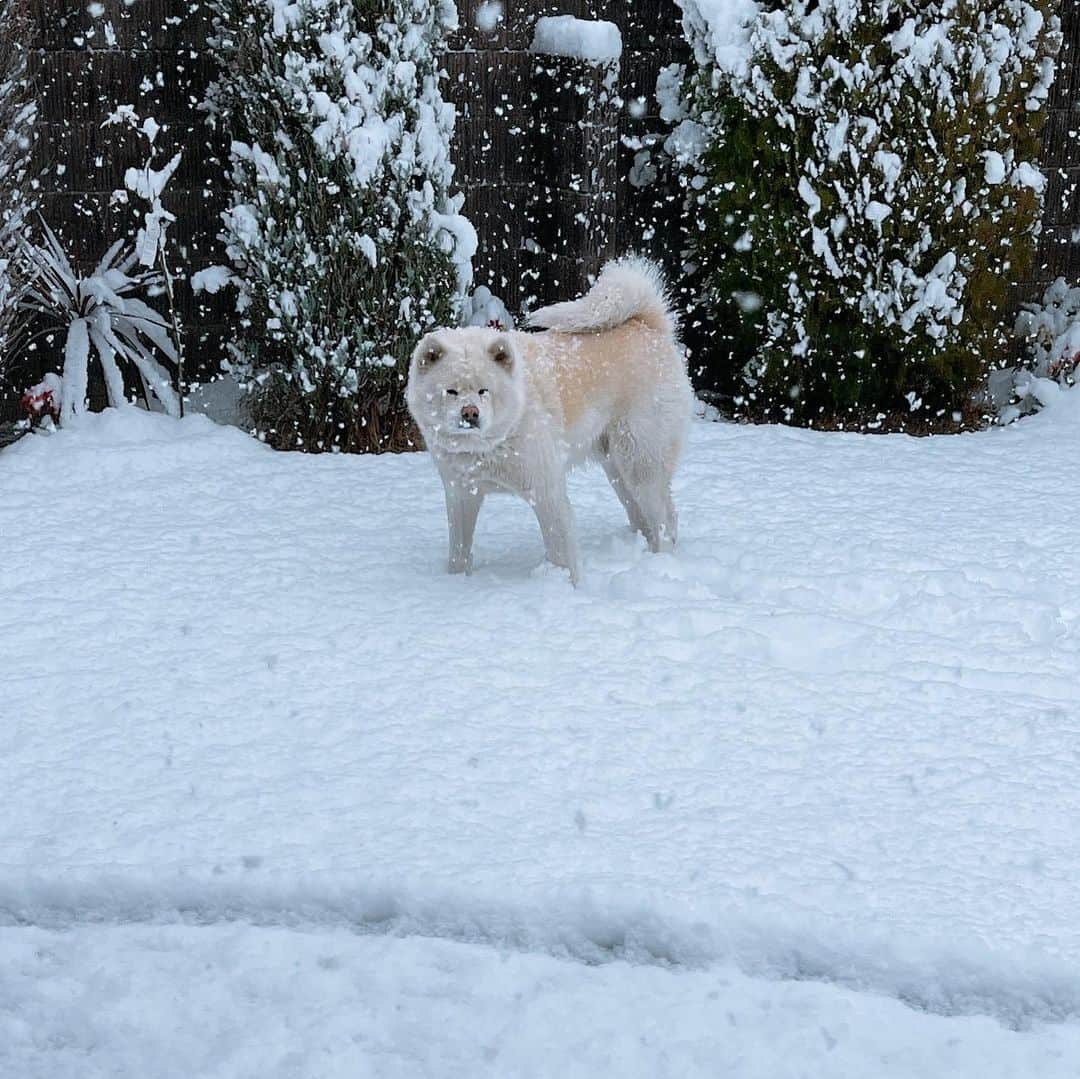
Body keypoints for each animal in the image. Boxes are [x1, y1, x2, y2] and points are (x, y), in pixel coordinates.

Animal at [406, 258, 691, 587]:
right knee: (648, 516)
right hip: (618, 471)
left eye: (483, 390)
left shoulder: (546, 489)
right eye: (450, 391)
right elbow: (459, 552)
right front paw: (454, 583)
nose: (470, 414)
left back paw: (659, 563)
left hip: (640, 463)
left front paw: (565, 586)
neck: (491, 444)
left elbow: (560, 549)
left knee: (664, 519)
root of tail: (647, 325)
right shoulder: (462, 494)